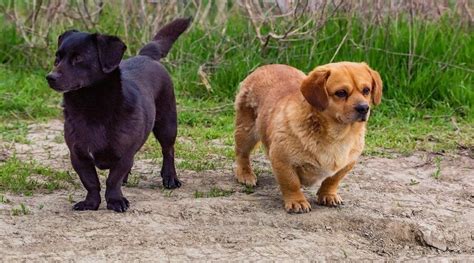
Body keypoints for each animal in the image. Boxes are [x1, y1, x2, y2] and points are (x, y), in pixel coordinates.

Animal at [45, 18, 191, 212]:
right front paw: (91, 203)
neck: (91, 107)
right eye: (57, 58)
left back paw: (170, 178)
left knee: (168, 150)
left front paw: (115, 200)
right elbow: (91, 182)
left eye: (78, 58)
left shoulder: (124, 154)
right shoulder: (78, 156)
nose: (50, 77)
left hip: (167, 125)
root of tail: (146, 56)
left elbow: (113, 180)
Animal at [233, 62, 382, 214]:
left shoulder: (347, 164)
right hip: (246, 133)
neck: (338, 135)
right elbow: (291, 183)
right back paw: (245, 175)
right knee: (242, 155)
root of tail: (266, 66)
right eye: (341, 93)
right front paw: (297, 201)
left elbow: (332, 180)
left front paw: (328, 195)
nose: (364, 108)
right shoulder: (282, 160)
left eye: (366, 90)